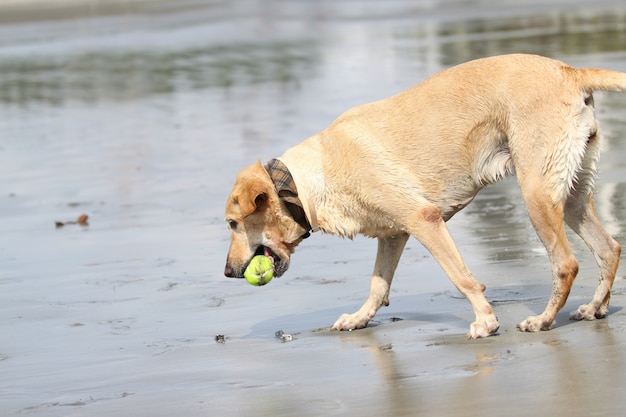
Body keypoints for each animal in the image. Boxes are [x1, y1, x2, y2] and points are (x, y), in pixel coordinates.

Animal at [222, 53, 620, 336]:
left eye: (232, 224)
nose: (226, 272)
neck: (302, 184)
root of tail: (570, 70)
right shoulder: (394, 233)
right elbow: (377, 285)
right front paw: (360, 318)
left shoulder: (423, 220)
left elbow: (461, 277)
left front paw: (486, 321)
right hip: (570, 195)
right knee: (609, 249)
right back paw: (594, 308)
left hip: (537, 193)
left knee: (566, 264)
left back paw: (543, 320)